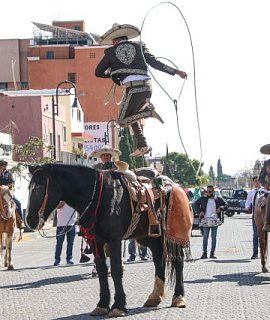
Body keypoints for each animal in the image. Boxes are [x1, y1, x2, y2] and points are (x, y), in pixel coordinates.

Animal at [26, 165, 193, 318]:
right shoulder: (96, 241)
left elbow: (116, 269)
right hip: (150, 238)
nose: (30, 220)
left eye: (39, 188)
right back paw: (154, 296)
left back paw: (178, 297)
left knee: (178, 262)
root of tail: (174, 186)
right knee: (159, 260)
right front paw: (102, 305)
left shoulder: (114, 240)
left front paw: (118, 306)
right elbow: (101, 269)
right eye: (29, 188)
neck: (98, 196)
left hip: (173, 237)